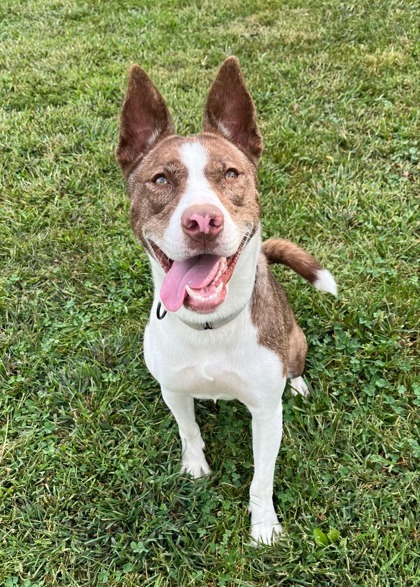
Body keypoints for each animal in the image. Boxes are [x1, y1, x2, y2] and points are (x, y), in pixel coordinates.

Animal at [115, 57, 338, 544]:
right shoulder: (174, 390)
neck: (210, 325)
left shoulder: (267, 414)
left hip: (294, 341)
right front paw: (195, 467)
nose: (202, 221)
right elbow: (189, 430)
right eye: (161, 179)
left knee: (295, 364)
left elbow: (261, 477)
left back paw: (298, 383)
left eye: (231, 174)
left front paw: (264, 527)